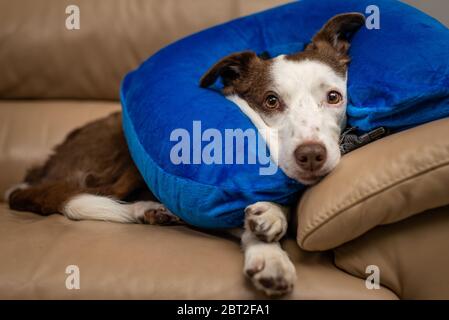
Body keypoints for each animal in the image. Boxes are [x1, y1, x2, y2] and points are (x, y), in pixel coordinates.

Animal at [5, 13, 364, 296]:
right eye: (271, 101)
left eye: (334, 97)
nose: (311, 155)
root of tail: (43, 169)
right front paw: (270, 252)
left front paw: (272, 216)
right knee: (83, 194)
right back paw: (143, 209)